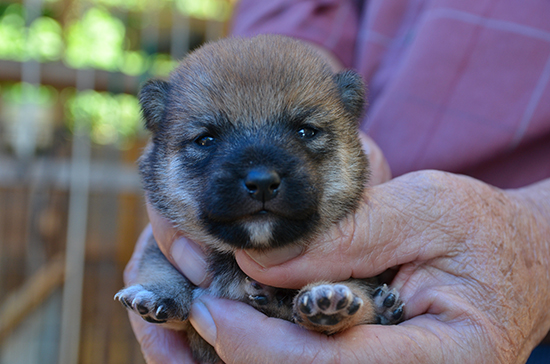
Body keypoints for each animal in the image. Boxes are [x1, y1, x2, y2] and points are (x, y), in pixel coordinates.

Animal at [116, 34, 406, 364]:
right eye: (205, 139)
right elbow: (158, 264)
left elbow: (357, 296)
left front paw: (329, 300)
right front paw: (157, 293)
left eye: (306, 131)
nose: (263, 182)